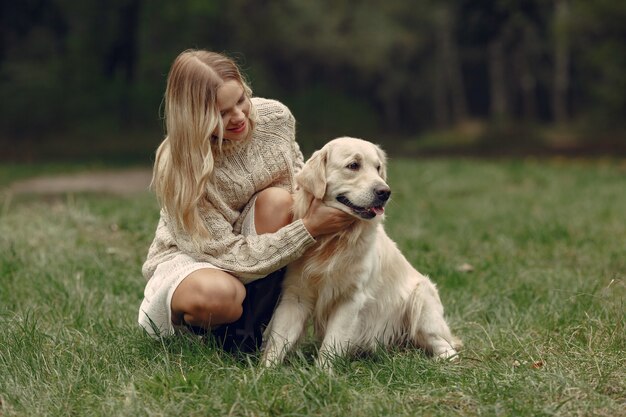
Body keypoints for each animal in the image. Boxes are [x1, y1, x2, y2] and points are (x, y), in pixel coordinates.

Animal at [258, 137, 458, 368]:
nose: (385, 192)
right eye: (353, 165)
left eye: (378, 167)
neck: (335, 240)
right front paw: (265, 371)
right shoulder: (296, 294)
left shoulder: (351, 298)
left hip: (422, 300)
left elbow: (332, 342)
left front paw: (322, 372)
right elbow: (279, 340)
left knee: (446, 346)